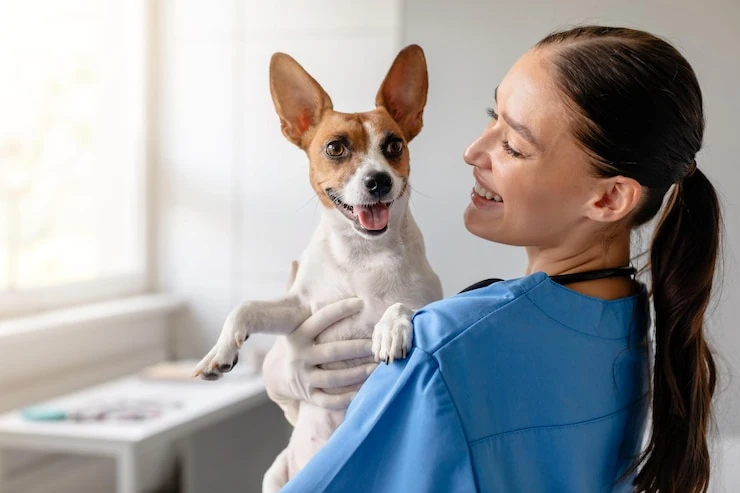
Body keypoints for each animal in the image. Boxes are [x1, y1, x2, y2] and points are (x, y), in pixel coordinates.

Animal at [194, 44, 442, 490]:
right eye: (335, 148)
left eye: (394, 145)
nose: (378, 180)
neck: (361, 255)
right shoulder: (299, 310)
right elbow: (246, 307)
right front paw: (220, 352)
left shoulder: (430, 297)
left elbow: (404, 305)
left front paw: (390, 329)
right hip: (276, 474)